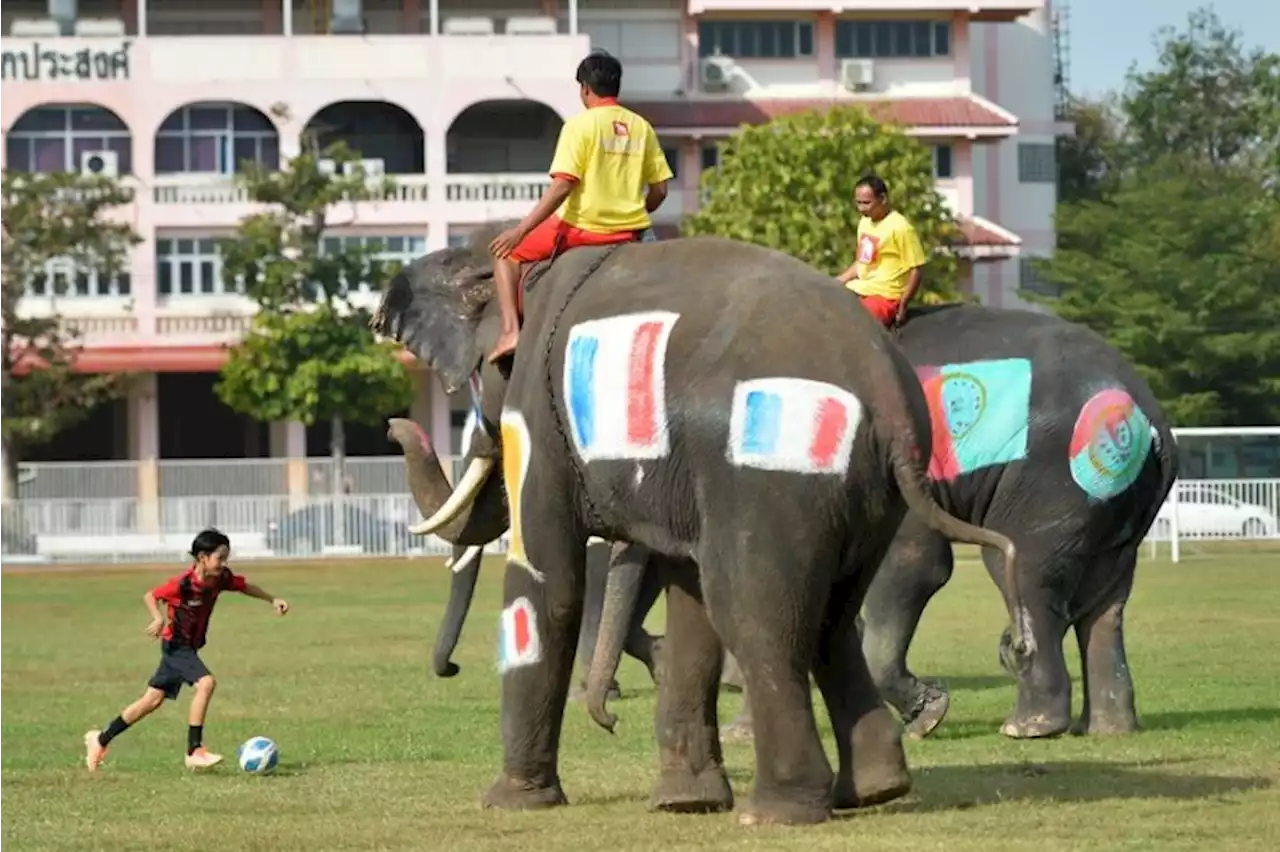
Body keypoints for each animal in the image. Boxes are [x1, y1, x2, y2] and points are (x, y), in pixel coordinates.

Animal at [373, 223, 1029, 823]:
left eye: (479, 385)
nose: (392, 425)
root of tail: (888, 394)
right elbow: (688, 602)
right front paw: (686, 803)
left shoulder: (539, 417)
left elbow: (549, 582)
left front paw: (511, 803)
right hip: (863, 498)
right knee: (829, 619)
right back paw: (874, 790)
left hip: (771, 483)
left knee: (756, 614)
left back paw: (775, 812)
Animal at [588, 298, 1177, 741]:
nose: (611, 722)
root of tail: (1150, 422)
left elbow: (914, 565)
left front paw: (927, 716)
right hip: (1108, 502)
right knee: (1106, 602)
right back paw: (1107, 728)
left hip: (1053, 482)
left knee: (1025, 574)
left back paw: (1028, 727)